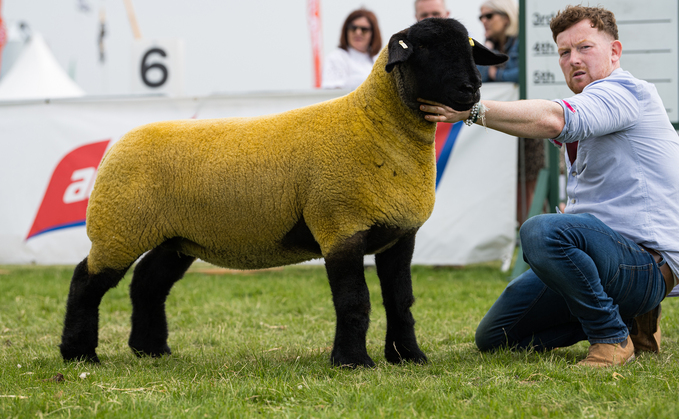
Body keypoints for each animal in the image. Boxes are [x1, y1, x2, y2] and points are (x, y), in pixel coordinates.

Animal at [59, 18, 504, 370]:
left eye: (469, 49)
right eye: (424, 49)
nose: (472, 89)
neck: (375, 127)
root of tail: (118, 144)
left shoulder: (399, 235)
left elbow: (401, 301)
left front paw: (409, 357)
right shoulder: (340, 227)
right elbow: (354, 301)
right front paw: (353, 362)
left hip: (176, 238)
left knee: (147, 284)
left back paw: (151, 350)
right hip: (119, 227)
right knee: (86, 280)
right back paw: (80, 354)